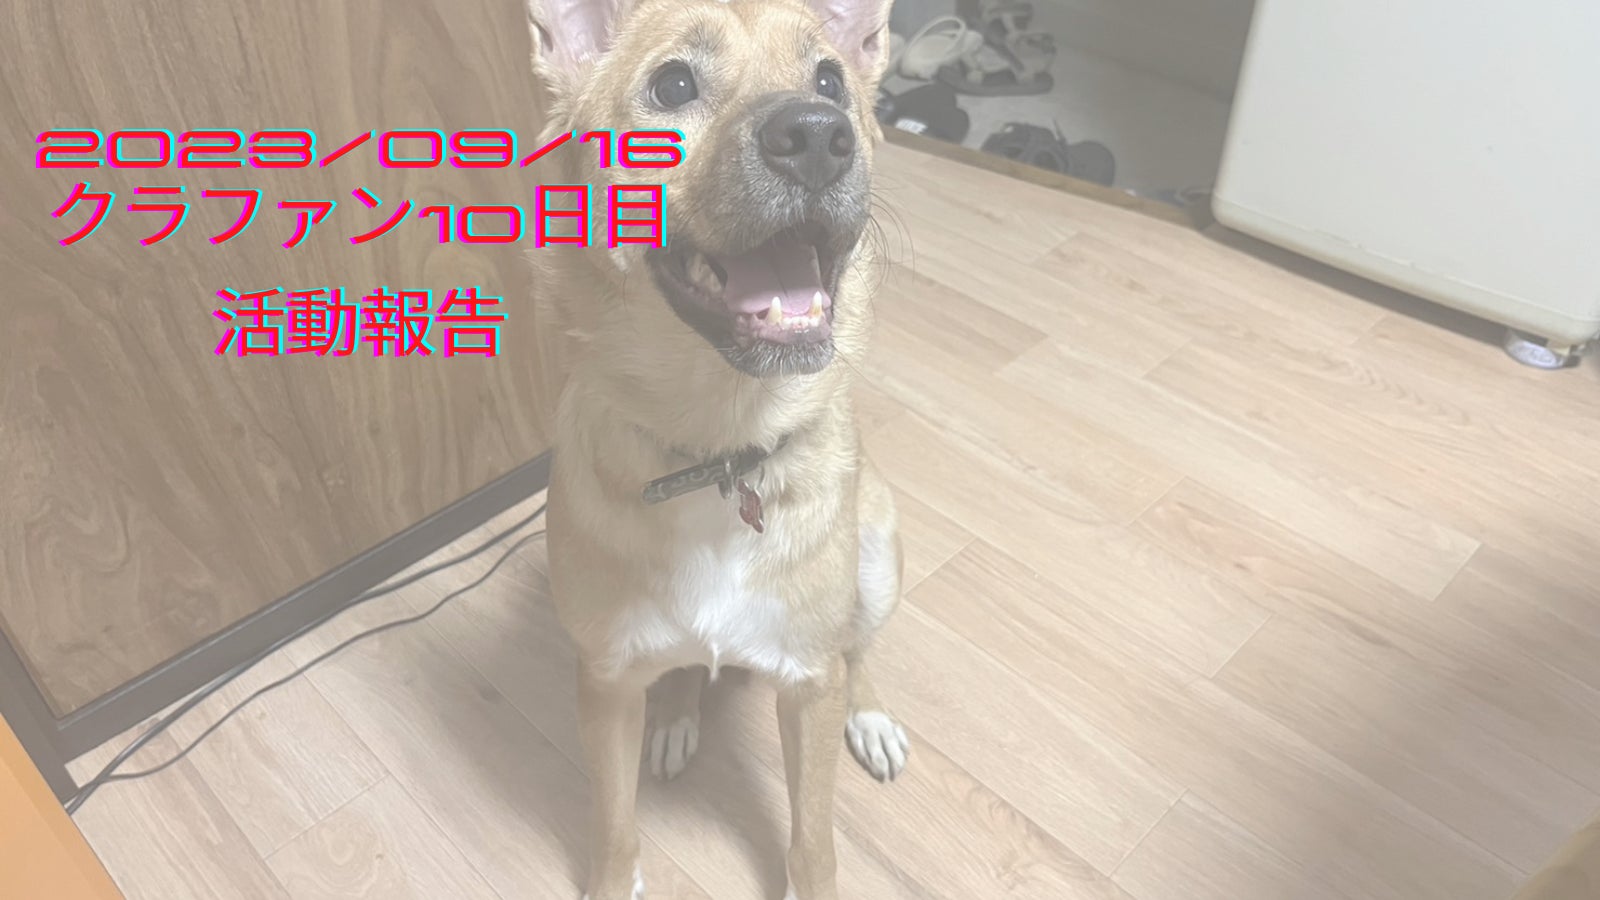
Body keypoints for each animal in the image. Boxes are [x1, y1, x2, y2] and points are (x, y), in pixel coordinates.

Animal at [521, 0, 907, 896]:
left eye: (829, 80)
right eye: (672, 86)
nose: (818, 135)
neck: (721, 446)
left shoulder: (807, 684)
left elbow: (813, 840)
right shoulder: (605, 683)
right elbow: (614, 825)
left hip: (877, 554)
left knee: (862, 647)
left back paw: (871, 713)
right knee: (685, 670)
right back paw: (675, 715)